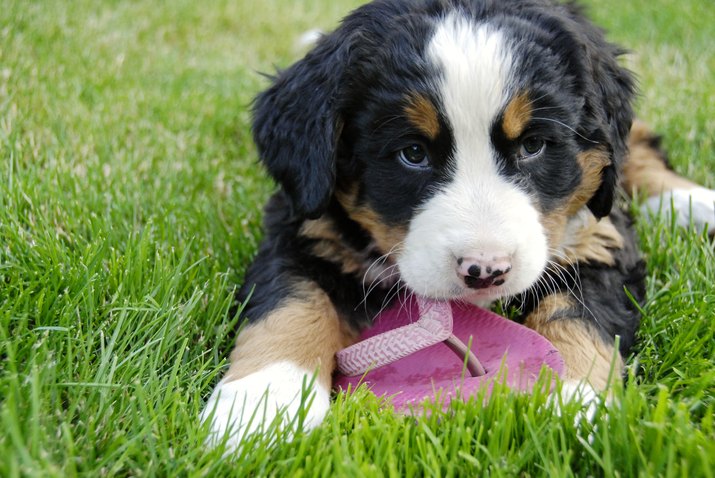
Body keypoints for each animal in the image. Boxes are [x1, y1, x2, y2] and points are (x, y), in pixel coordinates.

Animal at [200, 0, 715, 452]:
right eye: (412, 153)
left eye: (533, 145)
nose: (485, 270)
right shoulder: (303, 226)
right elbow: (291, 307)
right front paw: (260, 409)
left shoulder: (599, 234)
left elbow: (578, 317)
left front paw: (572, 407)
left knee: (639, 144)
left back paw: (693, 203)